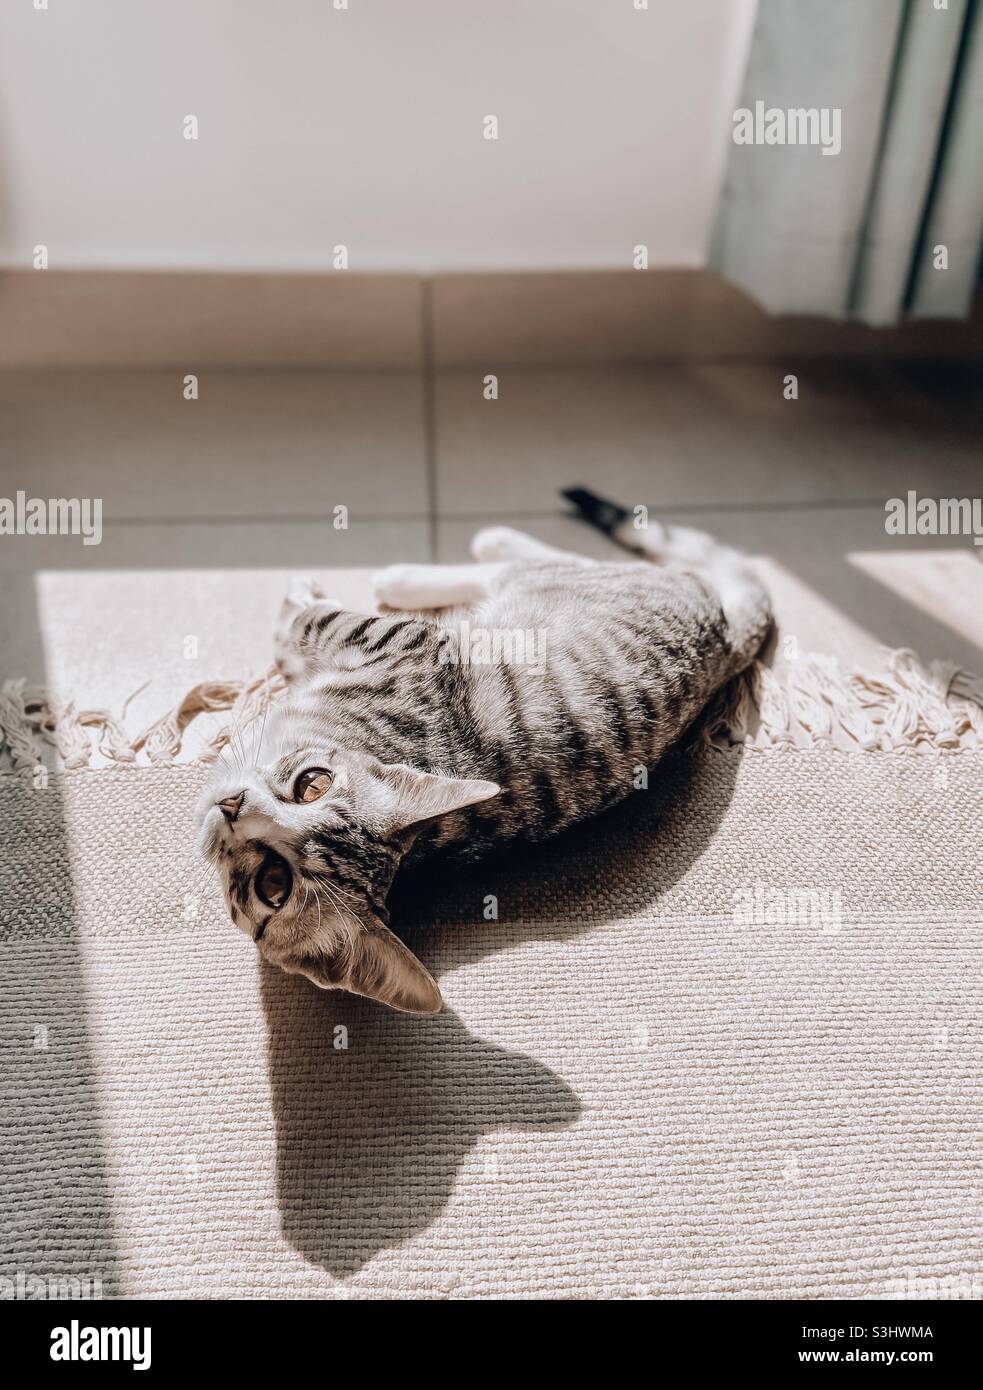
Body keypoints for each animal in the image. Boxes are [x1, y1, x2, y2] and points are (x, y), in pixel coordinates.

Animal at [196, 494, 773, 1017]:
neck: (368, 734)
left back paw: (436, 564)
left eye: (274, 883)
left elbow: (315, 622)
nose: (232, 807)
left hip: (565, 583)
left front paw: (296, 605)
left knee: (550, 564)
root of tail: (727, 639)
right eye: (312, 783)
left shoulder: (402, 641)